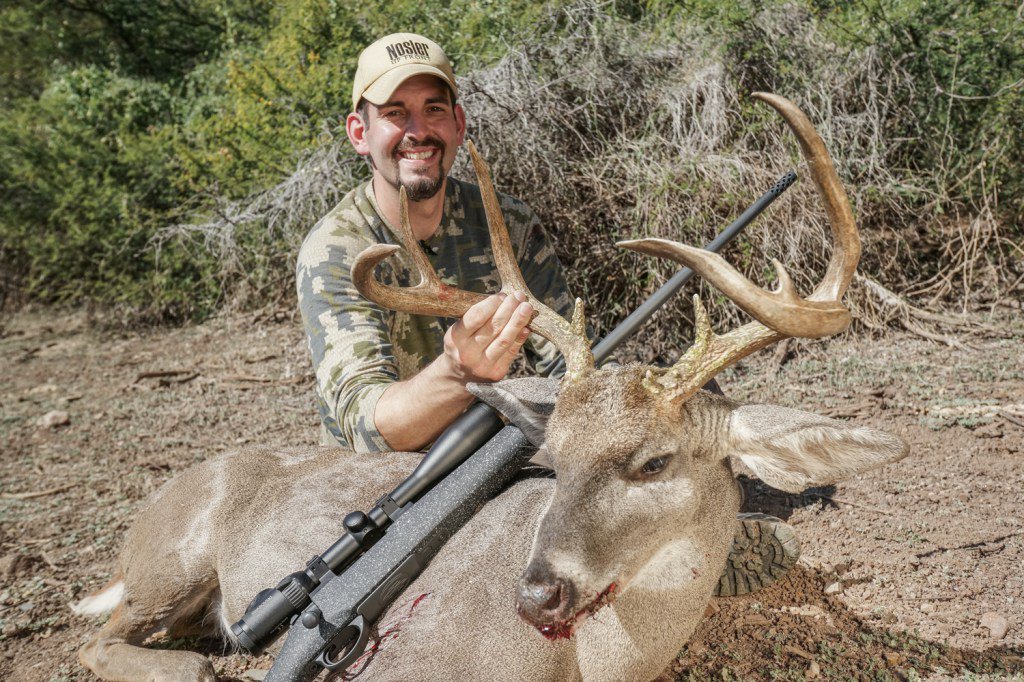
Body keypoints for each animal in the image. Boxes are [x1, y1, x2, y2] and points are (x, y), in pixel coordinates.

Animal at [71, 93, 907, 682]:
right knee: (100, 640)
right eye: (554, 462)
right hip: (170, 564)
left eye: (654, 461)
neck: (594, 667)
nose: (536, 596)